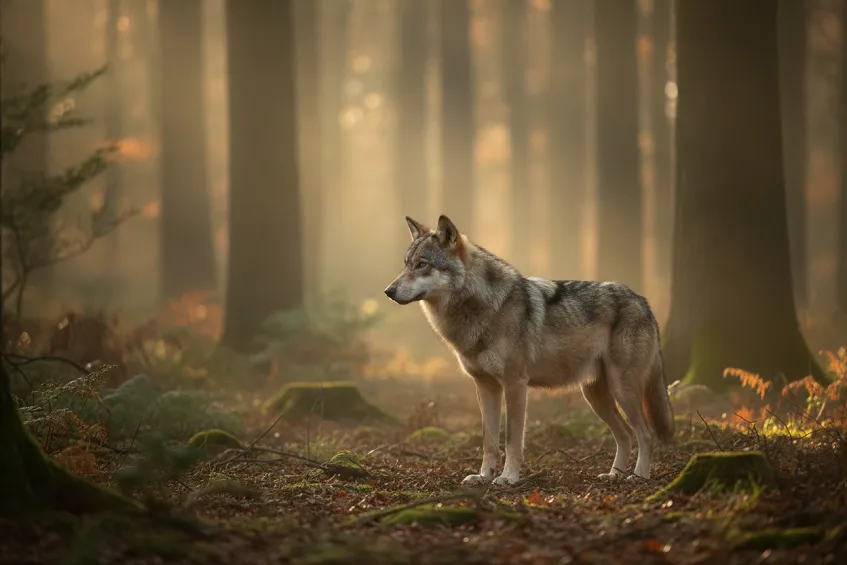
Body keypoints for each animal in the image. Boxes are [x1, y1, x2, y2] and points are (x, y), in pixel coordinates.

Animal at [384, 215, 674, 486]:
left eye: (422, 264)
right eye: (406, 263)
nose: (388, 291)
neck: (481, 308)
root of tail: (643, 301)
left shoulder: (515, 384)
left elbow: (512, 438)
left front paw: (508, 477)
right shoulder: (485, 387)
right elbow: (488, 440)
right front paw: (483, 476)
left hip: (621, 389)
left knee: (646, 434)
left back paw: (638, 476)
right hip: (594, 395)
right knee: (625, 434)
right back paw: (614, 474)